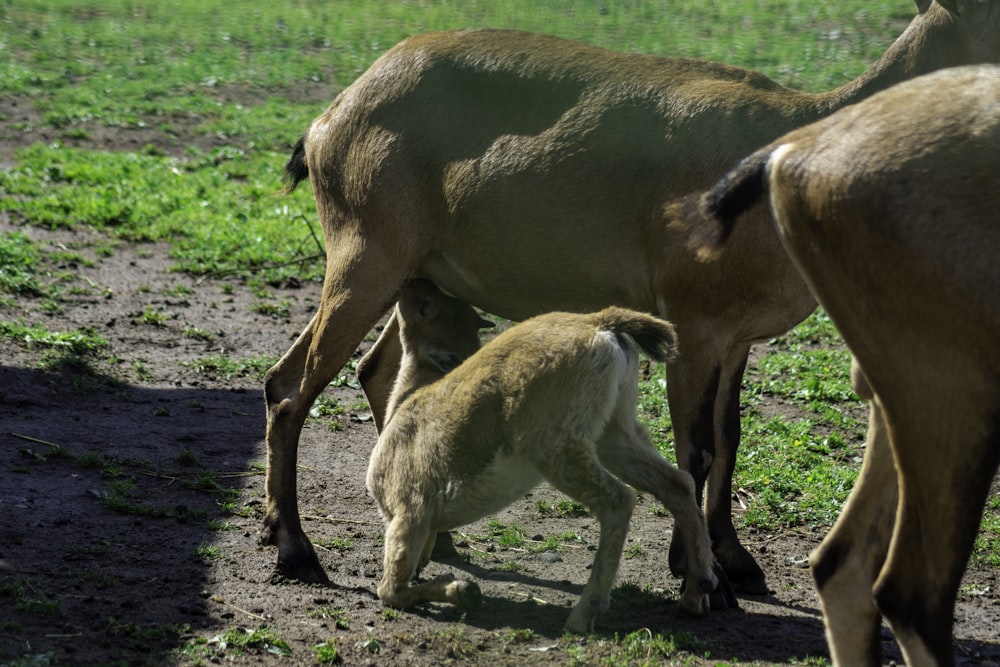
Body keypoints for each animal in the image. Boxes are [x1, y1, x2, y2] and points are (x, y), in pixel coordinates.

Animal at [264, 1, 1000, 596]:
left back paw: (433, 535)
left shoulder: (735, 337)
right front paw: (700, 573)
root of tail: (329, 121)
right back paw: (296, 550)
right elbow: (697, 449)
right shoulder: (692, 321)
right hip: (366, 253)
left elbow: (730, 437)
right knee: (290, 386)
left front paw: (738, 563)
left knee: (375, 369)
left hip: (418, 275)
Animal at [364, 280, 732, 636]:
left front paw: (464, 591)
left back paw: (585, 613)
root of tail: (599, 324)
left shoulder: (410, 509)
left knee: (618, 501)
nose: (411, 284)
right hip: (614, 432)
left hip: (557, 446)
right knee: (677, 483)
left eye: (424, 307)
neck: (406, 402)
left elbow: (391, 590)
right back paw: (699, 587)